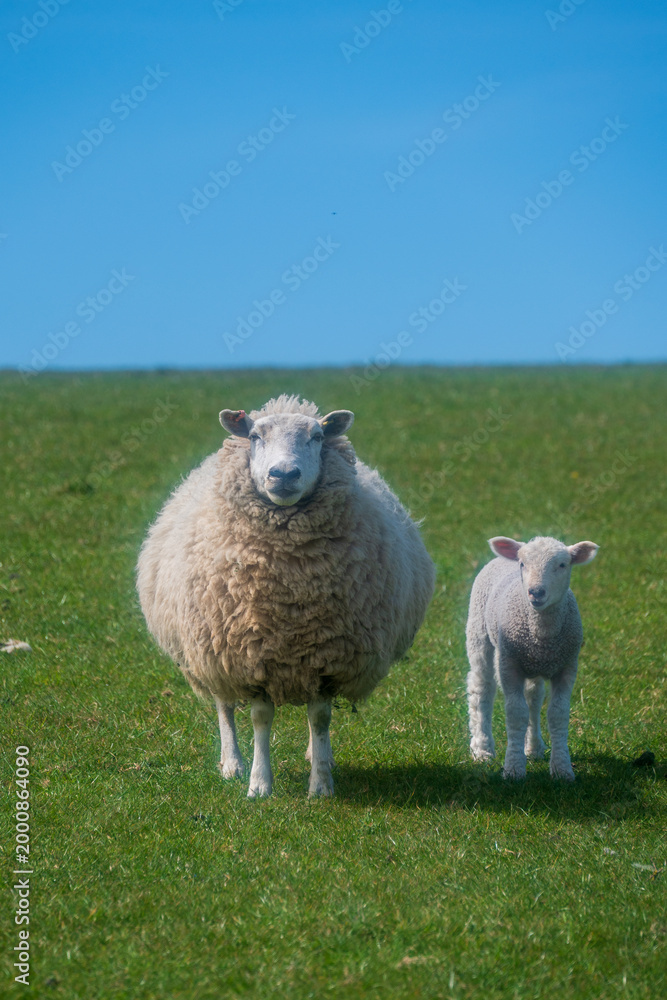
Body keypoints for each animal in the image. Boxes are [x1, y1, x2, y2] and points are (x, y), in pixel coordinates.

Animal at [137, 394, 435, 798]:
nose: (284, 475)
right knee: (223, 705)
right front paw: (259, 784)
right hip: (210, 650)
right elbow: (261, 719)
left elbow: (320, 717)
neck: (289, 585)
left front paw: (321, 784)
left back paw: (316, 755)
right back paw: (232, 763)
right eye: (255, 436)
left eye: (317, 436)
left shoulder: (327, 656)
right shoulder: (249, 654)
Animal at [466, 535, 599, 781]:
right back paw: (483, 749)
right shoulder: (509, 665)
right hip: (478, 633)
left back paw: (534, 747)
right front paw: (513, 768)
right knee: (481, 690)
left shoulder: (567, 666)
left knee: (533, 698)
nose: (536, 592)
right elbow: (516, 712)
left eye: (562, 565)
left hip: (532, 663)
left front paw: (562, 769)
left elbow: (557, 713)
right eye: (523, 564)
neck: (542, 635)